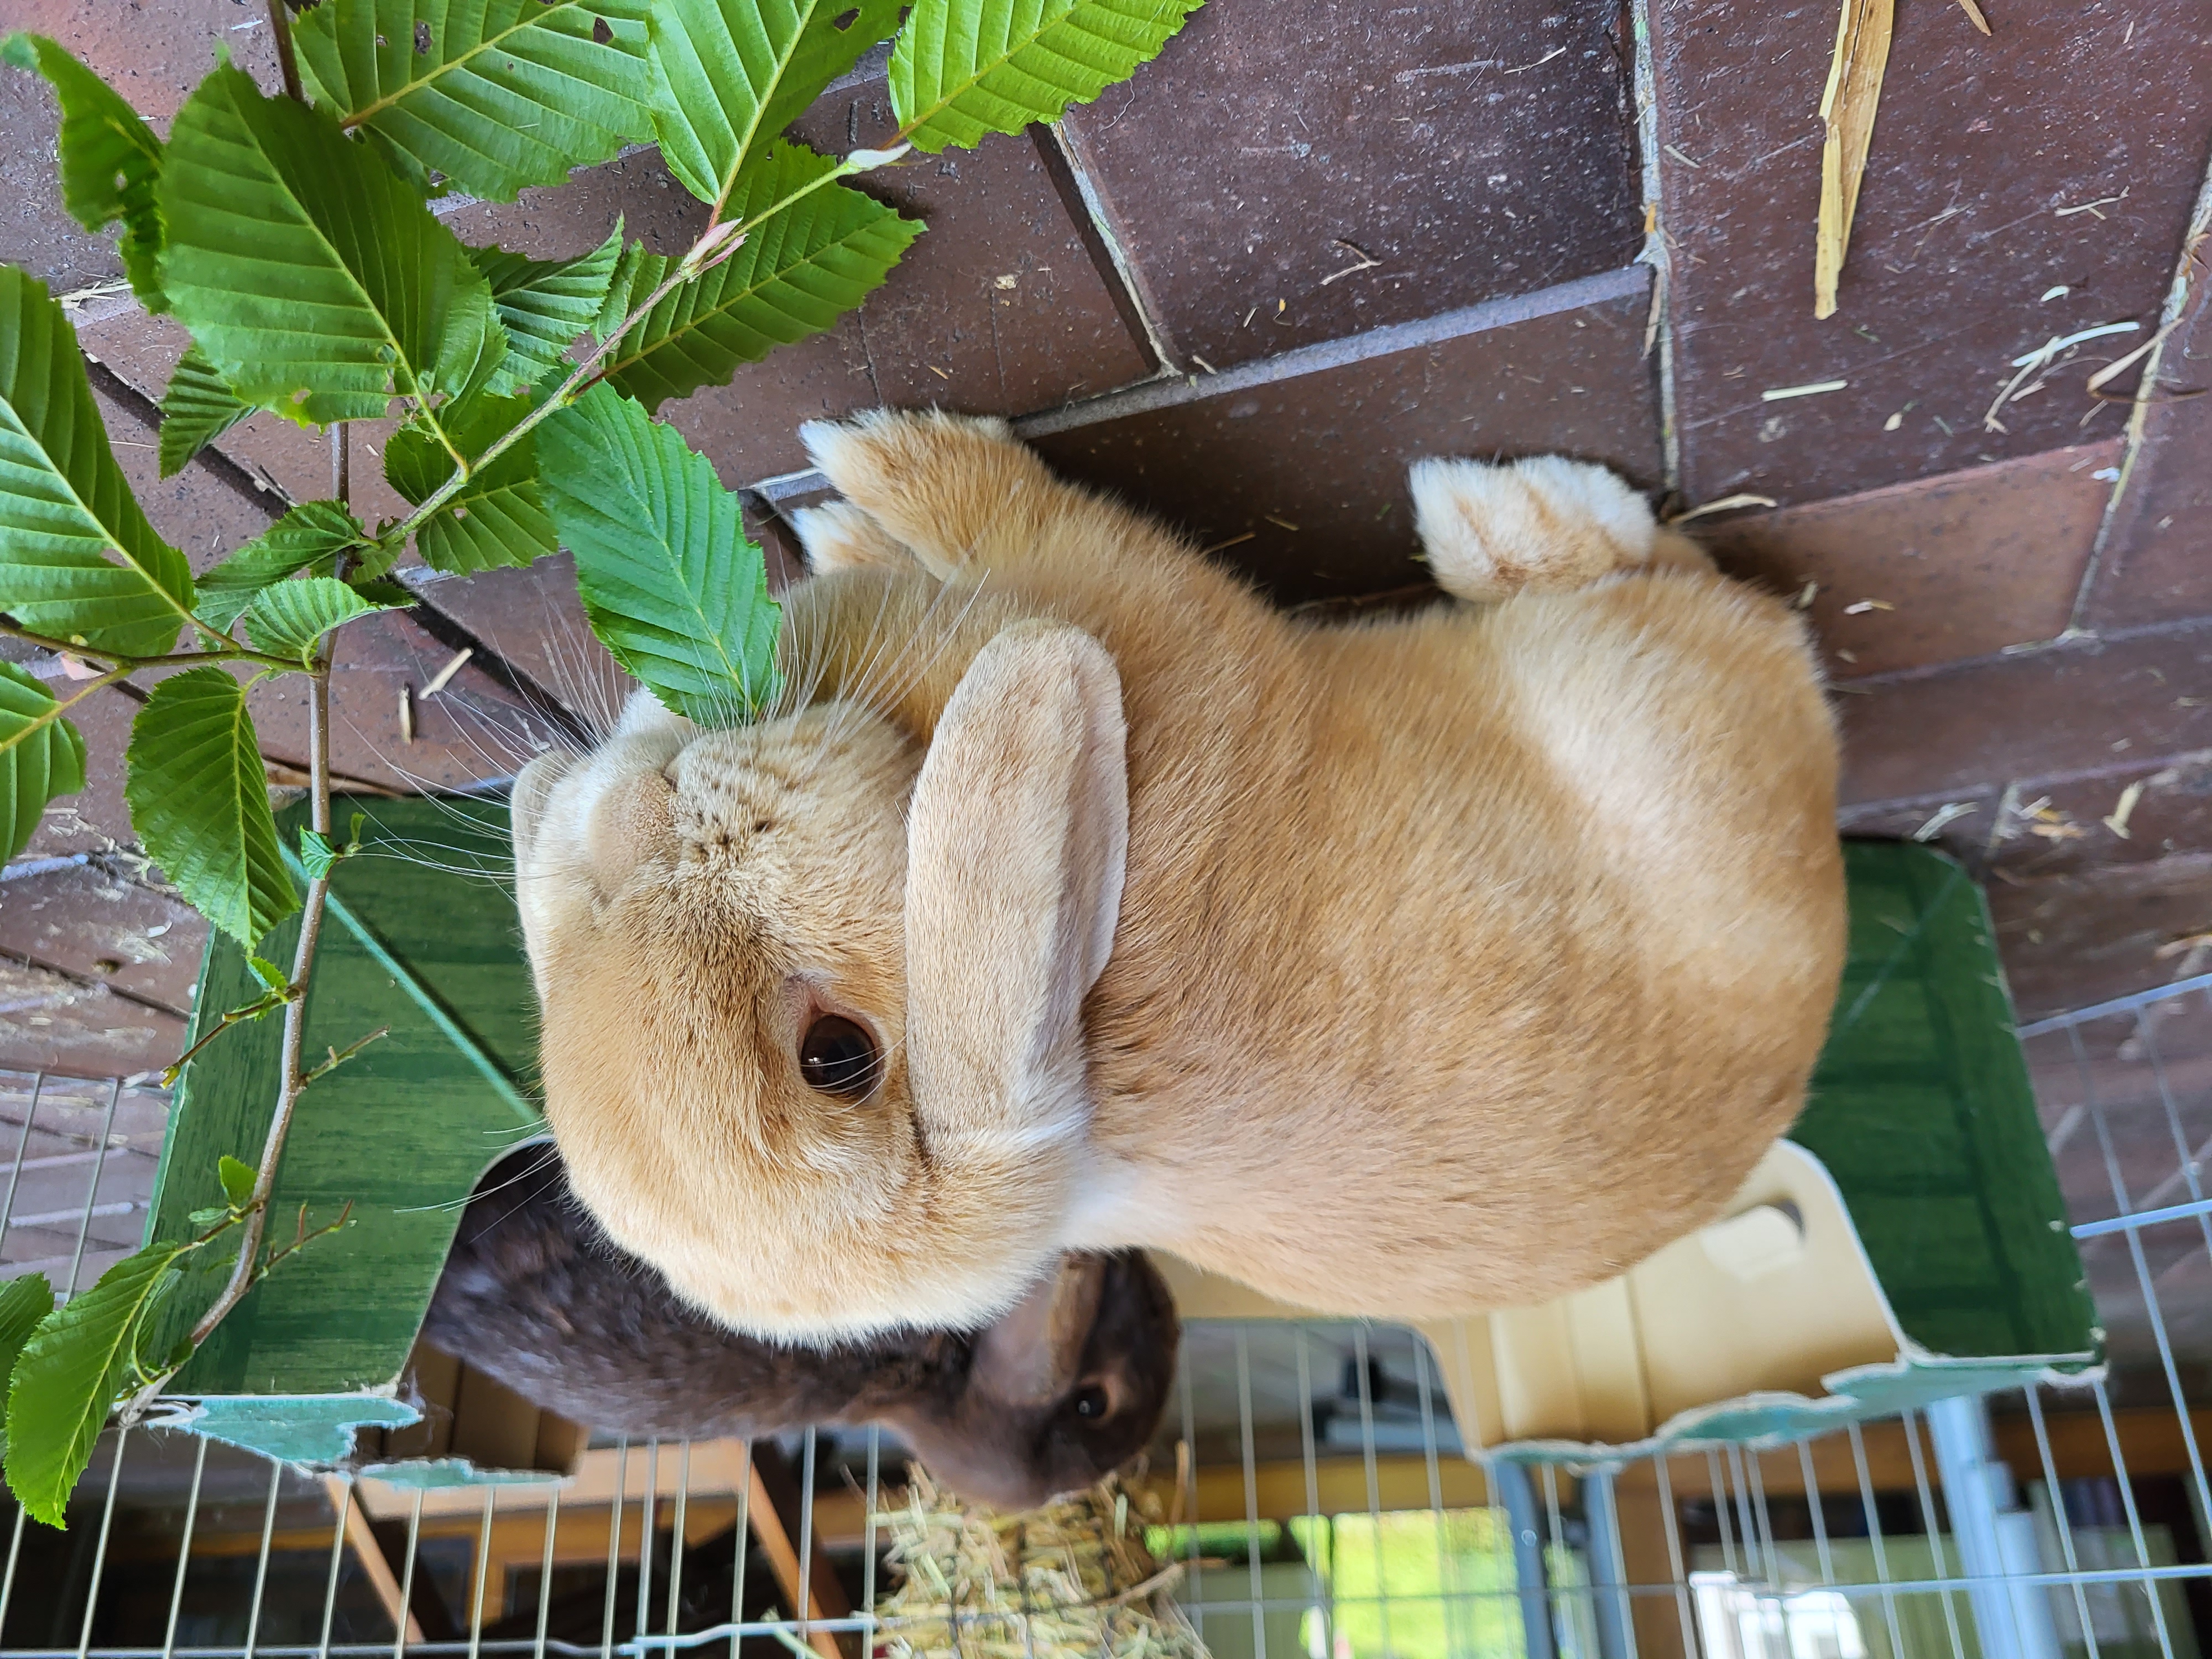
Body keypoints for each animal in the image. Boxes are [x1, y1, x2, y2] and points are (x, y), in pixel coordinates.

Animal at [510, 410, 1845, 1343]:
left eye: (834, 1057)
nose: (627, 817)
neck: (1094, 1017)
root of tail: (1829, 839)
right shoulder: (1169, 631)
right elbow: (1051, 531)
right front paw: (881, 469)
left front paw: (860, 475)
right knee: (1700, 579)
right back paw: (1506, 518)